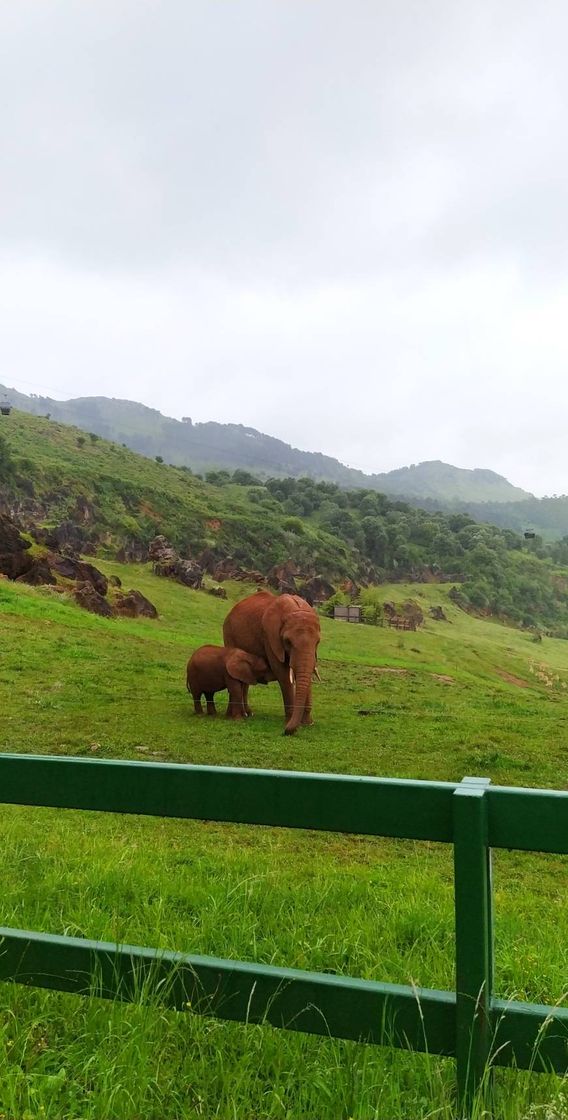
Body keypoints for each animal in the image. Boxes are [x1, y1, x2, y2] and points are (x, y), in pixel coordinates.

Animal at [221, 586, 320, 734]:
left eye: (317, 642)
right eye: (288, 642)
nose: (286, 732)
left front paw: (308, 723)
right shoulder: (270, 637)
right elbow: (283, 674)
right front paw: (290, 721)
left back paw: (248, 713)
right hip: (229, 634)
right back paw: (245, 714)